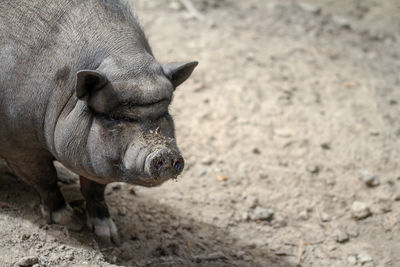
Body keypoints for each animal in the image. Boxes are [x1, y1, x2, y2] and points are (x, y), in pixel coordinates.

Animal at [0, 0, 197, 245]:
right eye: (114, 117)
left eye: (165, 111)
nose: (165, 153)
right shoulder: (20, 146)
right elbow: (45, 179)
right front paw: (70, 223)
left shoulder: (98, 161)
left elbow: (94, 189)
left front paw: (111, 237)